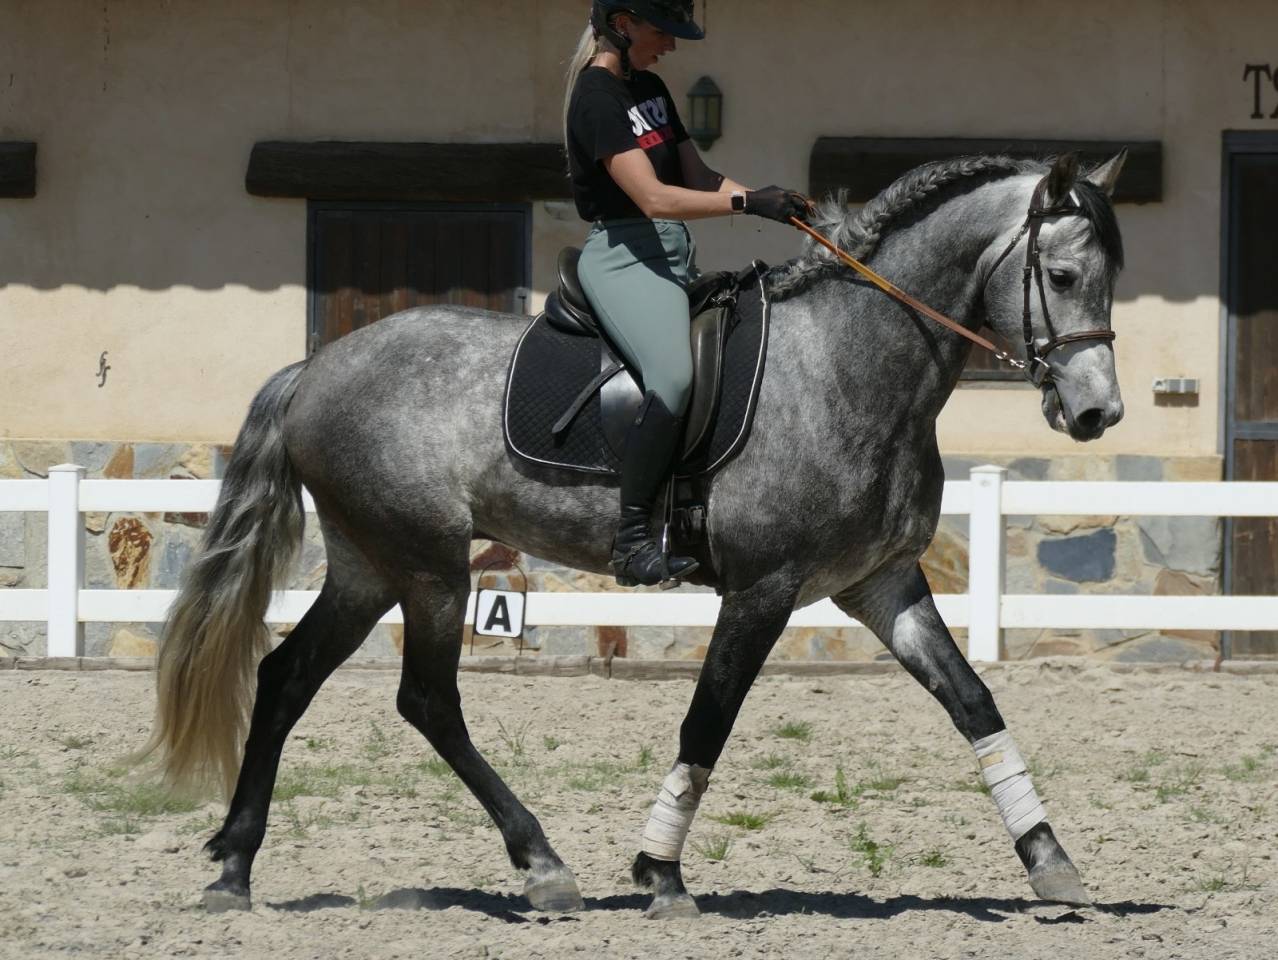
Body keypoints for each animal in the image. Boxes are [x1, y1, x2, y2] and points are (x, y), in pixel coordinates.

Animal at [140, 150, 1127, 919]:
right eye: (1063, 277)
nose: (1096, 415)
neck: (852, 365)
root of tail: (316, 367)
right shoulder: (763, 590)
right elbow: (708, 720)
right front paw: (661, 873)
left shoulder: (882, 584)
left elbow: (973, 703)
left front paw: (1051, 861)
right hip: (428, 568)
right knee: (426, 701)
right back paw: (542, 866)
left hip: (368, 566)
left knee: (286, 678)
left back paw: (234, 868)